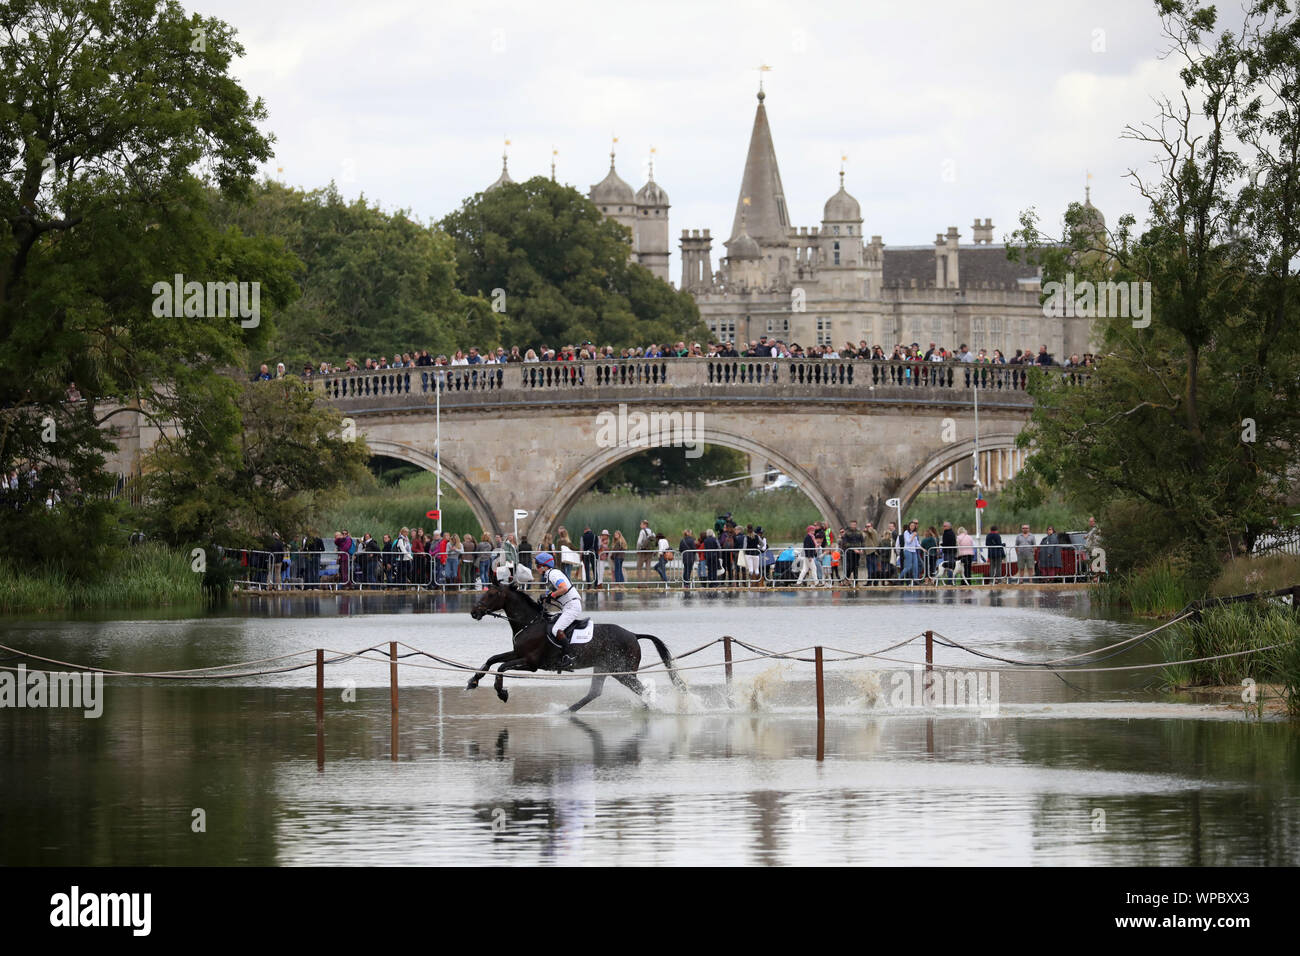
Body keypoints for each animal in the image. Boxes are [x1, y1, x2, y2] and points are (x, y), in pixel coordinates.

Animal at [467, 580, 691, 712]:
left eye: (491, 594)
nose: (474, 612)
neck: (529, 623)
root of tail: (633, 635)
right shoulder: (517, 653)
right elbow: (492, 660)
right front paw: (473, 681)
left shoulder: (531, 663)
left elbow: (501, 667)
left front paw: (501, 692)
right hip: (604, 668)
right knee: (595, 692)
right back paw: (566, 711)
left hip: (621, 671)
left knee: (640, 688)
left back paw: (650, 708)